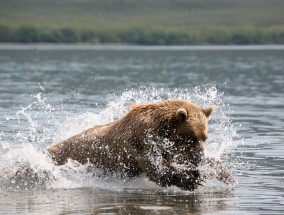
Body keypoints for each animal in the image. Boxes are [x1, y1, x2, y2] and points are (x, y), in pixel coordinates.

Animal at [47, 98, 233, 190]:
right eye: (191, 138)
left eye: (204, 137)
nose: (199, 157)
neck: (159, 131)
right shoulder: (141, 142)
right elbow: (155, 170)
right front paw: (190, 179)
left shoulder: (168, 148)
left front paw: (223, 173)